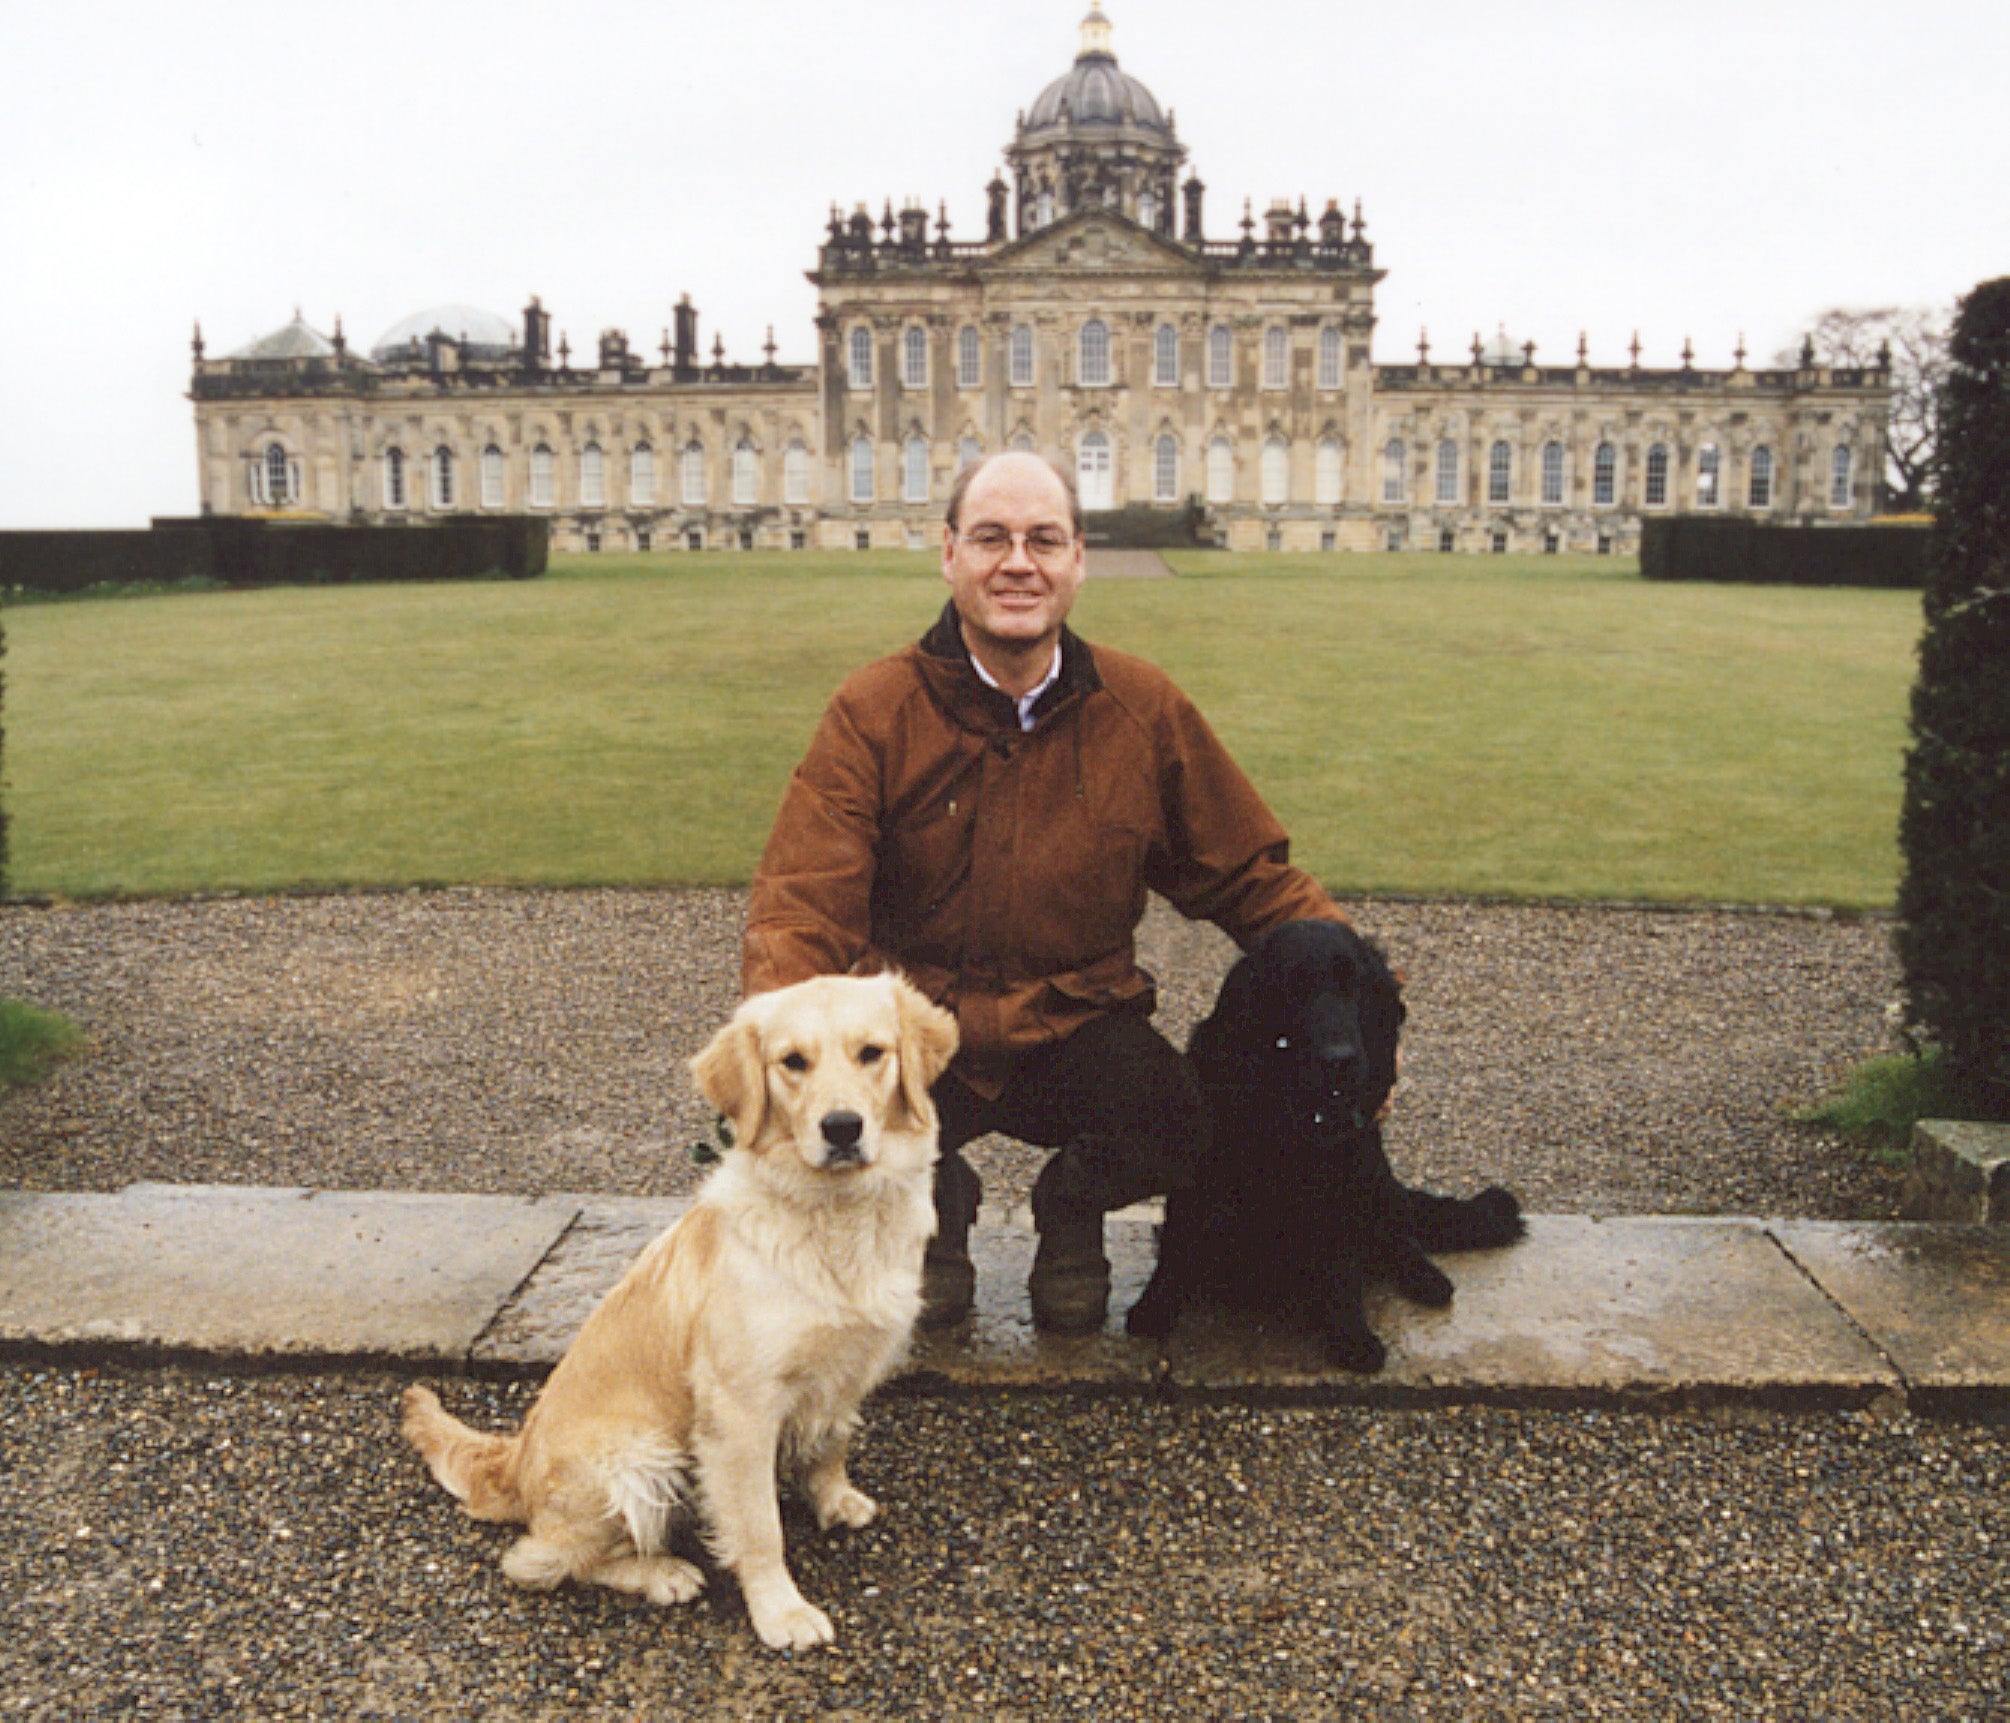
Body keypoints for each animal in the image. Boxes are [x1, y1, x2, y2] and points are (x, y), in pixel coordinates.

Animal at [1133, 920, 1519, 1367]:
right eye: (1294, 987)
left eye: (1355, 984)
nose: (1340, 1060)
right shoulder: (1201, 1177)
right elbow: (1177, 1244)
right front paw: (1153, 1308)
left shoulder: (1345, 1183)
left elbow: (1342, 1267)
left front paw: (1351, 1335)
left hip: (1377, 1179)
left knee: (1399, 1233)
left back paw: (1426, 1277)